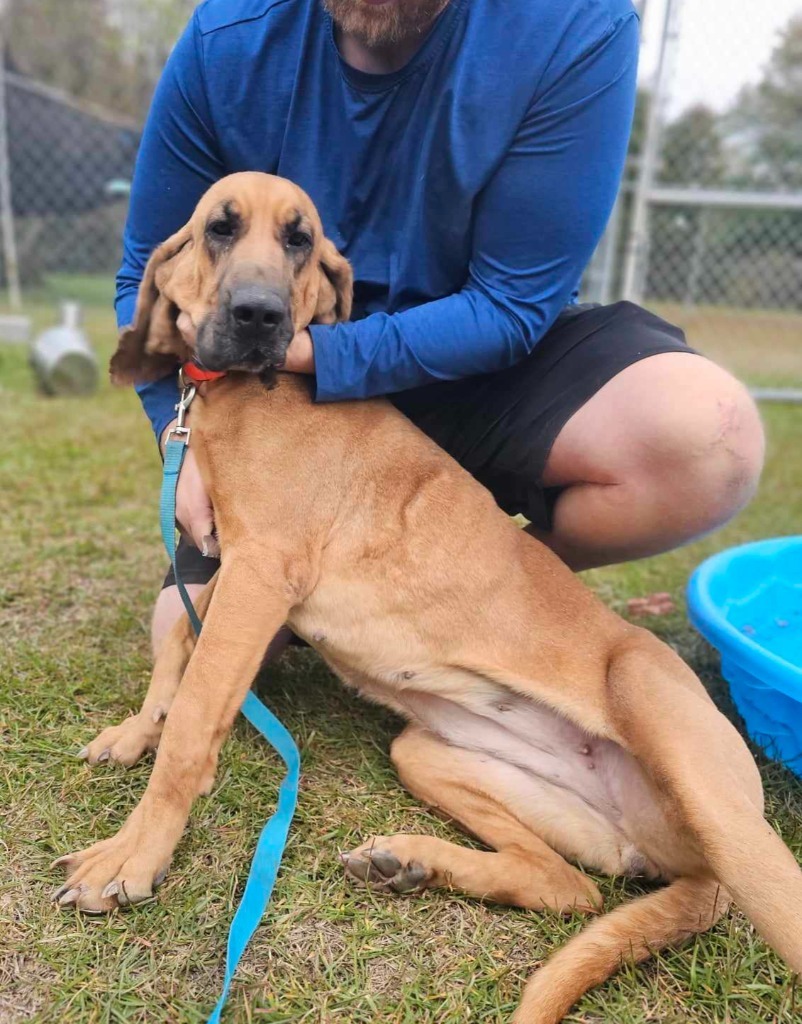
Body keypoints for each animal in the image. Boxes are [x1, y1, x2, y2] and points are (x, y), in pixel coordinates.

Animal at [56, 172, 802, 1019]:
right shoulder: (233, 569)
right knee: (570, 887)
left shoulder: (262, 572)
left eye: (300, 239)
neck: (242, 400)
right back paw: (414, 863)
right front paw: (134, 732)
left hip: (696, 778)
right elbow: (181, 646)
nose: (259, 317)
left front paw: (133, 853)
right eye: (221, 227)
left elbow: (191, 726)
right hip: (433, 759)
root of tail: (693, 864)